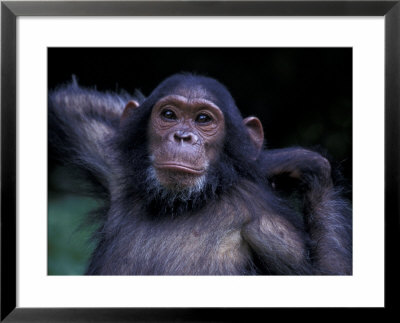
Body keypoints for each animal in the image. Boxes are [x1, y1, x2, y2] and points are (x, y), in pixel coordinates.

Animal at [48, 73, 352, 276]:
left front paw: (296, 161)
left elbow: (326, 272)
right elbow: (68, 104)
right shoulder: (110, 157)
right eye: (169, 115)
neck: (181, 203)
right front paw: (276, 160)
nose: (183, 136)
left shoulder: (270, 226)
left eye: (203, 119)